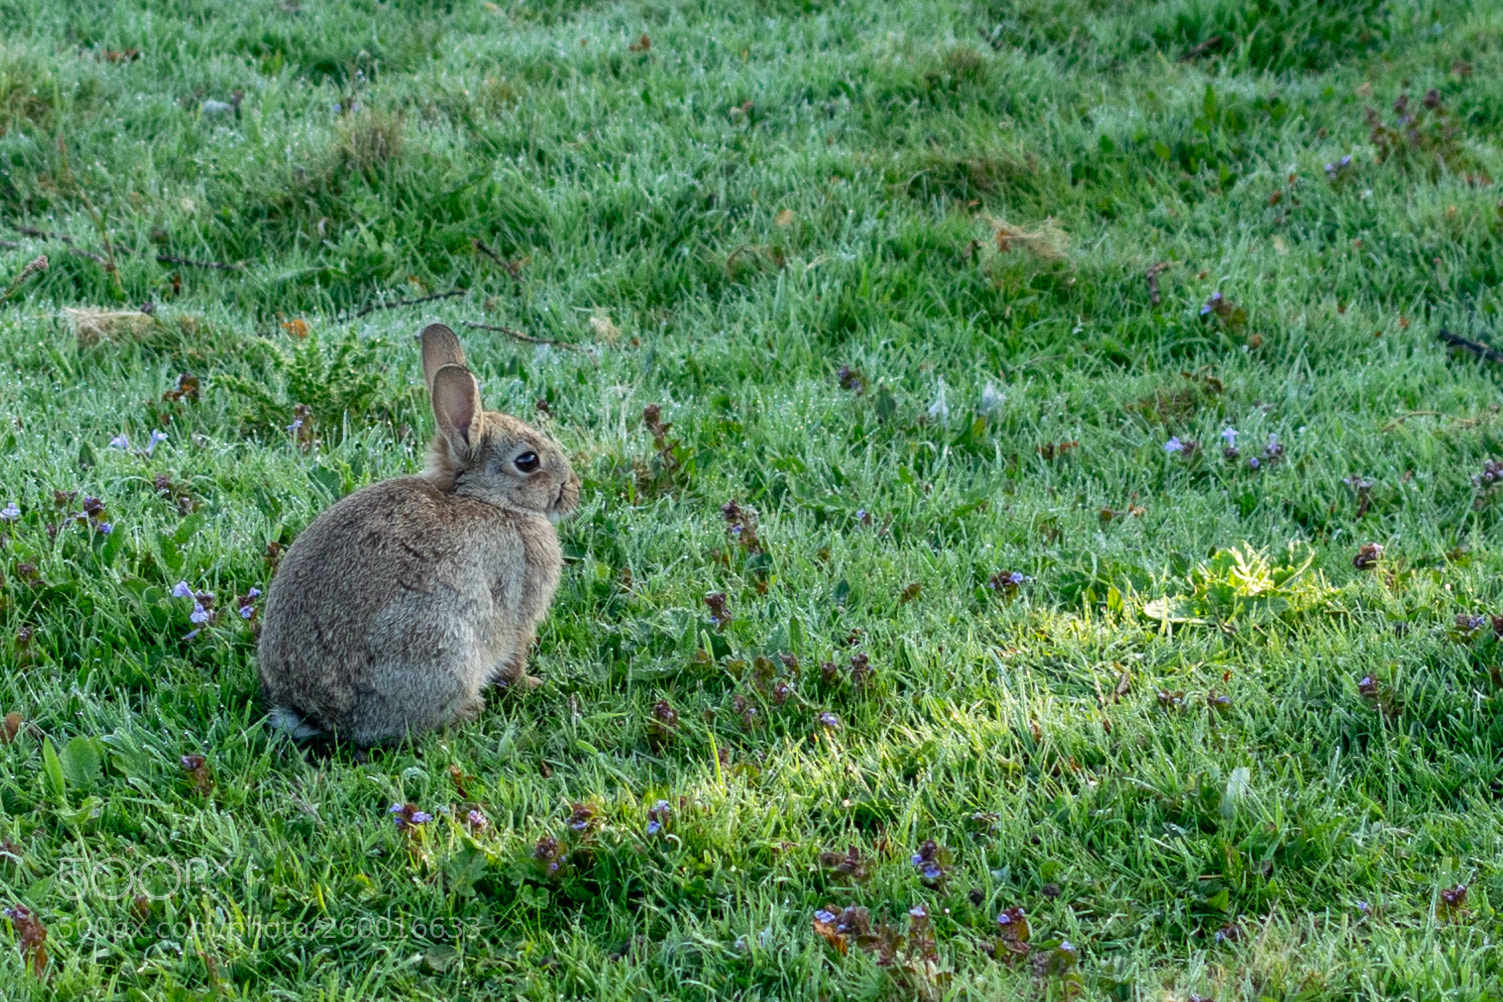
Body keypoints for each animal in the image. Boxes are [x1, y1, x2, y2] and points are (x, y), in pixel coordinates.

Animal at [257, 322, 581, 746]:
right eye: (528, 461)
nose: (573, 490)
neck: (487, 500)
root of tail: (317, 712)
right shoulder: (519, 611)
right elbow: (515, 656)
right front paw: (531, 683)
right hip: (443, 643)